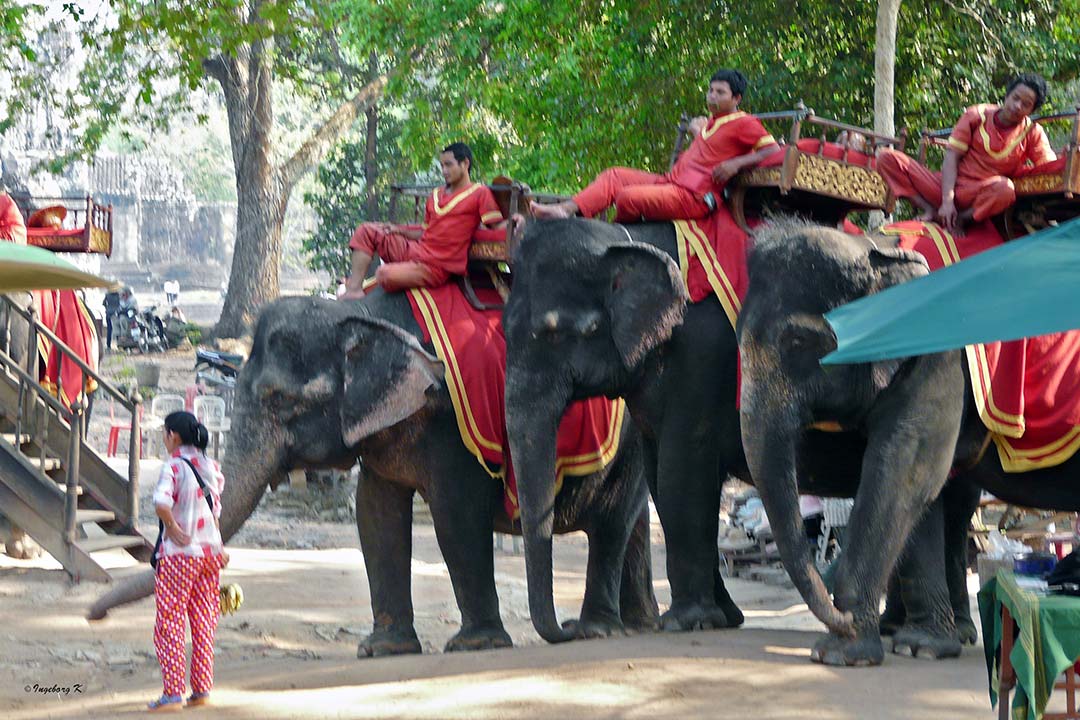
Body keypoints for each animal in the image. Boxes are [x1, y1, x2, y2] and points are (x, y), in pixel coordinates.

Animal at [86, 289, 656, 656]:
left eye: (279, 399)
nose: (93, 614)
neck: (356, 312)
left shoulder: (449, 416)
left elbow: (455, 517)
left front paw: (473, 645)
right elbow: (375, 516)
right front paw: (382, 649)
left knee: (612, 524)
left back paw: (597, 630)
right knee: (632, 528)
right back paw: (641, 624)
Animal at [503, 220, 751, 643]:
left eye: (555, 334)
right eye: (504, 332)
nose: (566, 629)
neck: (626, 240)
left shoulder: (702, 356)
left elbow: (681, 465)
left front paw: (688, 621)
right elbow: (663, 475)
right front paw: (723, 617)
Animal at [738, 216, 1080, 669]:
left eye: (797, 342)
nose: (841, 617)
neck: (877, 250)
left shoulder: (941, 353)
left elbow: (903, 471)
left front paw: (840, 654)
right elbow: (920, 484)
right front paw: (922, 645)